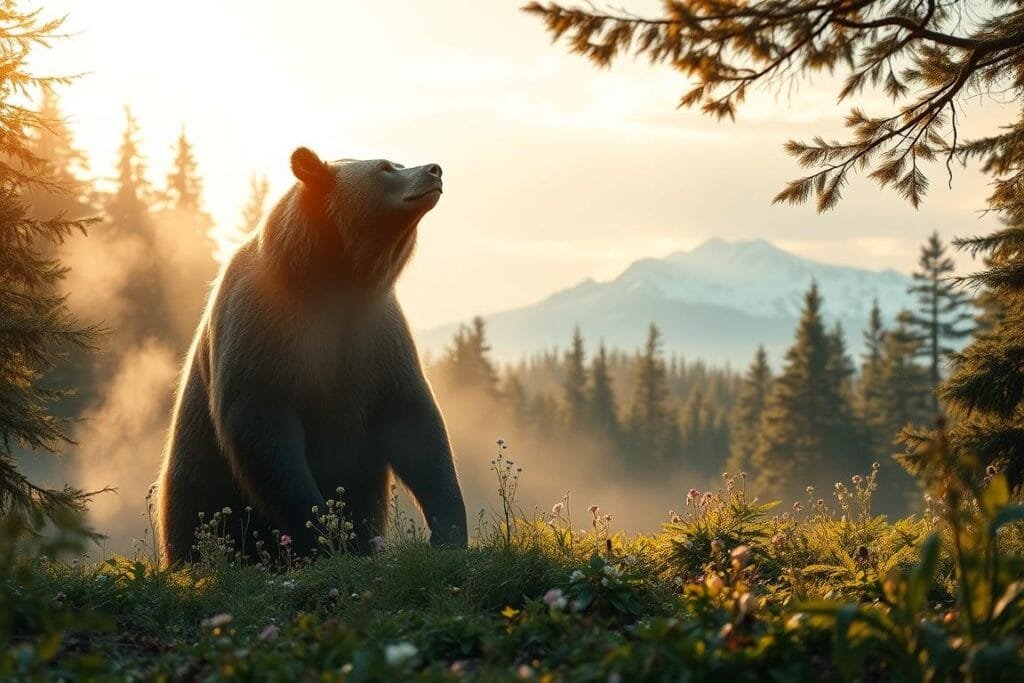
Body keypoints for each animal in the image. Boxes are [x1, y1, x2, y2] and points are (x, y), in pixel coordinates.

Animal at [155, 147, 468, 564]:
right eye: (385, 167)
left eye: (399, 162)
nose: (434, 170)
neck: (333, 283)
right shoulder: (265, 323)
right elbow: (263, 423)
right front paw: (321, 532)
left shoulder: (376, 334)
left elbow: (415, 421)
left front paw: (449, 530)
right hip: (198, 484)